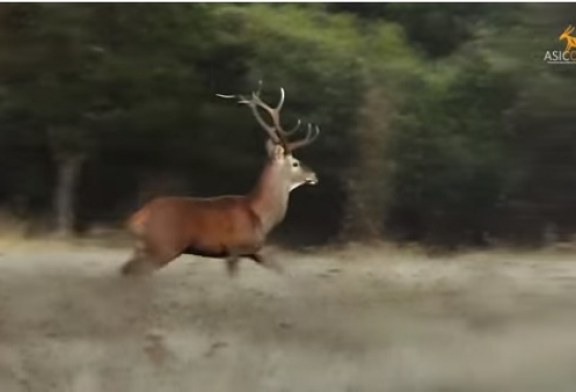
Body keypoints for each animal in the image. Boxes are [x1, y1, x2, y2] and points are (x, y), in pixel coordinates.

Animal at [121, 85, 320, 276]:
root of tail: (137, 218)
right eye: (295, 163)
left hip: (147, 248)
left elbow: (281, 270)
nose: (314, 176)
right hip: (164, 245)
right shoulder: (235, 248)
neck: (260, 215)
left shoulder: (255, 250)